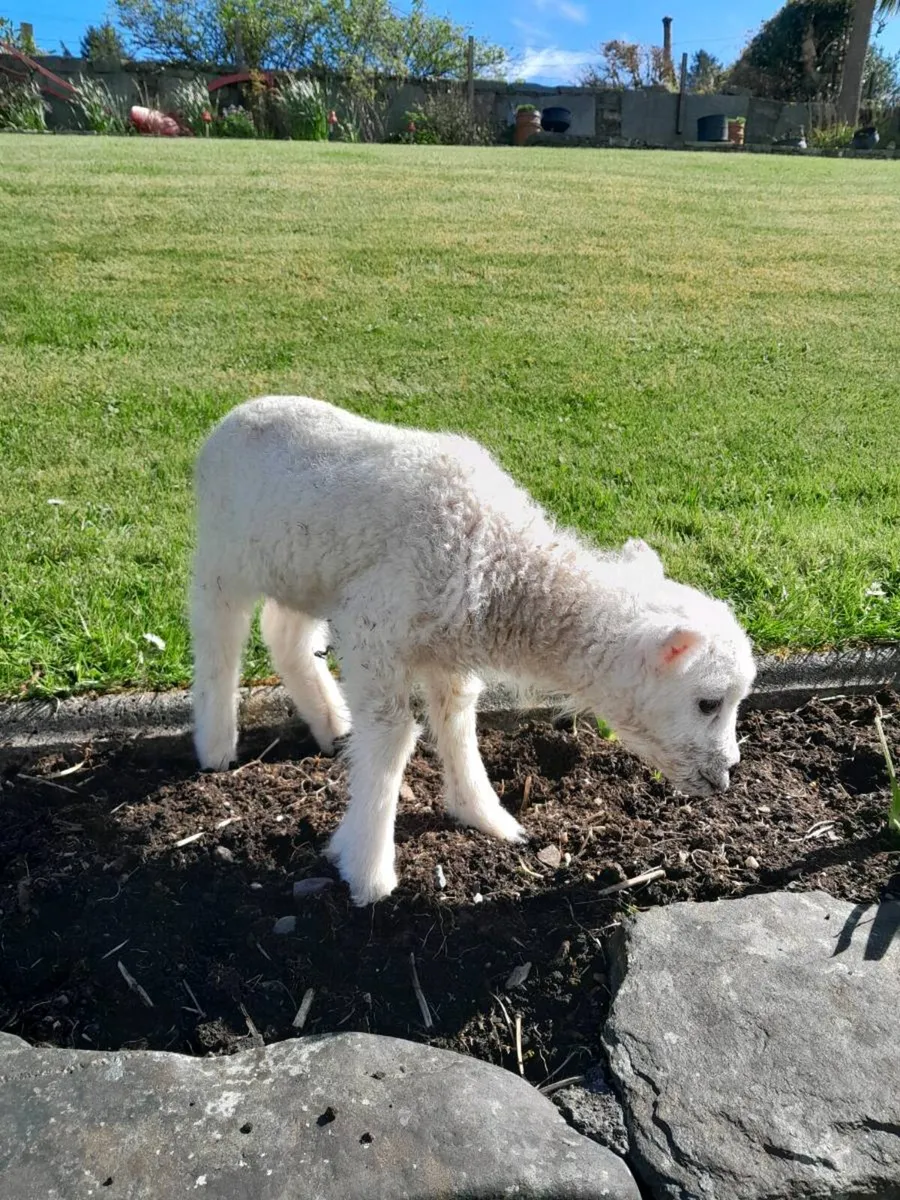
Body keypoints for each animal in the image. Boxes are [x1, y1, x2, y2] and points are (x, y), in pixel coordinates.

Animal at [191, 395, 756, 905]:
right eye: (708, 703)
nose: (728, 775)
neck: (500, 562)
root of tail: (236, 413)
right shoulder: (375, 628)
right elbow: (393, 738)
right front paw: (368, 870)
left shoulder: (449, 651)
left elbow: (457, 722)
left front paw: (484, 816)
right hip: (223, 557)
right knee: (218, 638)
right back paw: (216, 745)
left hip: (301, 569)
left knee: (285, 634)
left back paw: (332, 724)